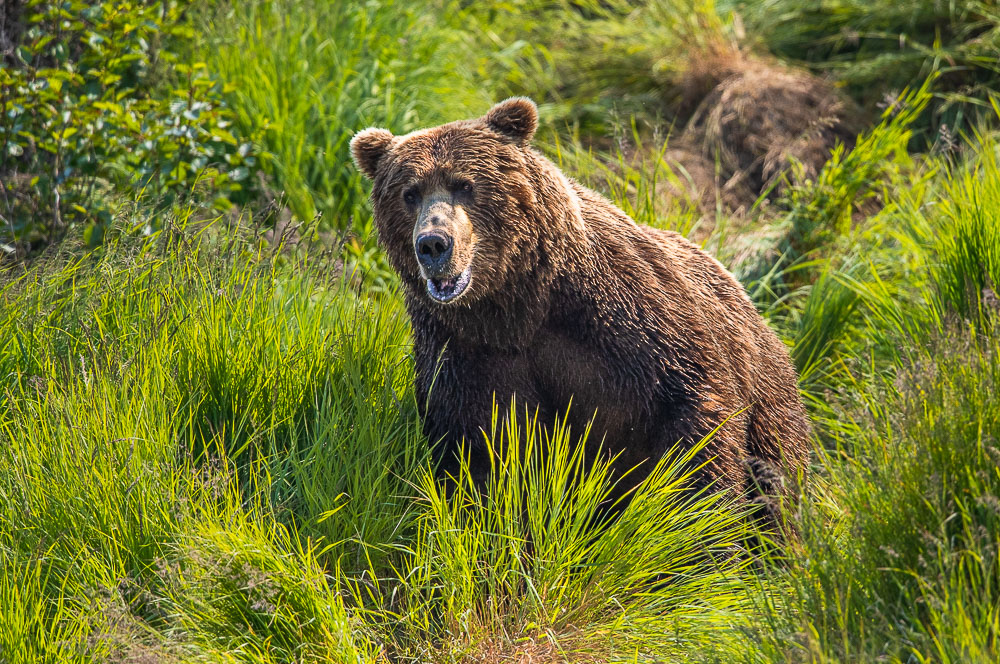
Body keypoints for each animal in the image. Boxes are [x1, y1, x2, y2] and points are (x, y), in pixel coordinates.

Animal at [352, 97, 812, 524]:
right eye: (409, 193)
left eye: (463, 184)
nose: (433, 244)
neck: (518, 306)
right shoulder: (467, 352)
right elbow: (483, 454)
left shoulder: (629, 320)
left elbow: (697, 415)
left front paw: (702, 525)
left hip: (768, 393)